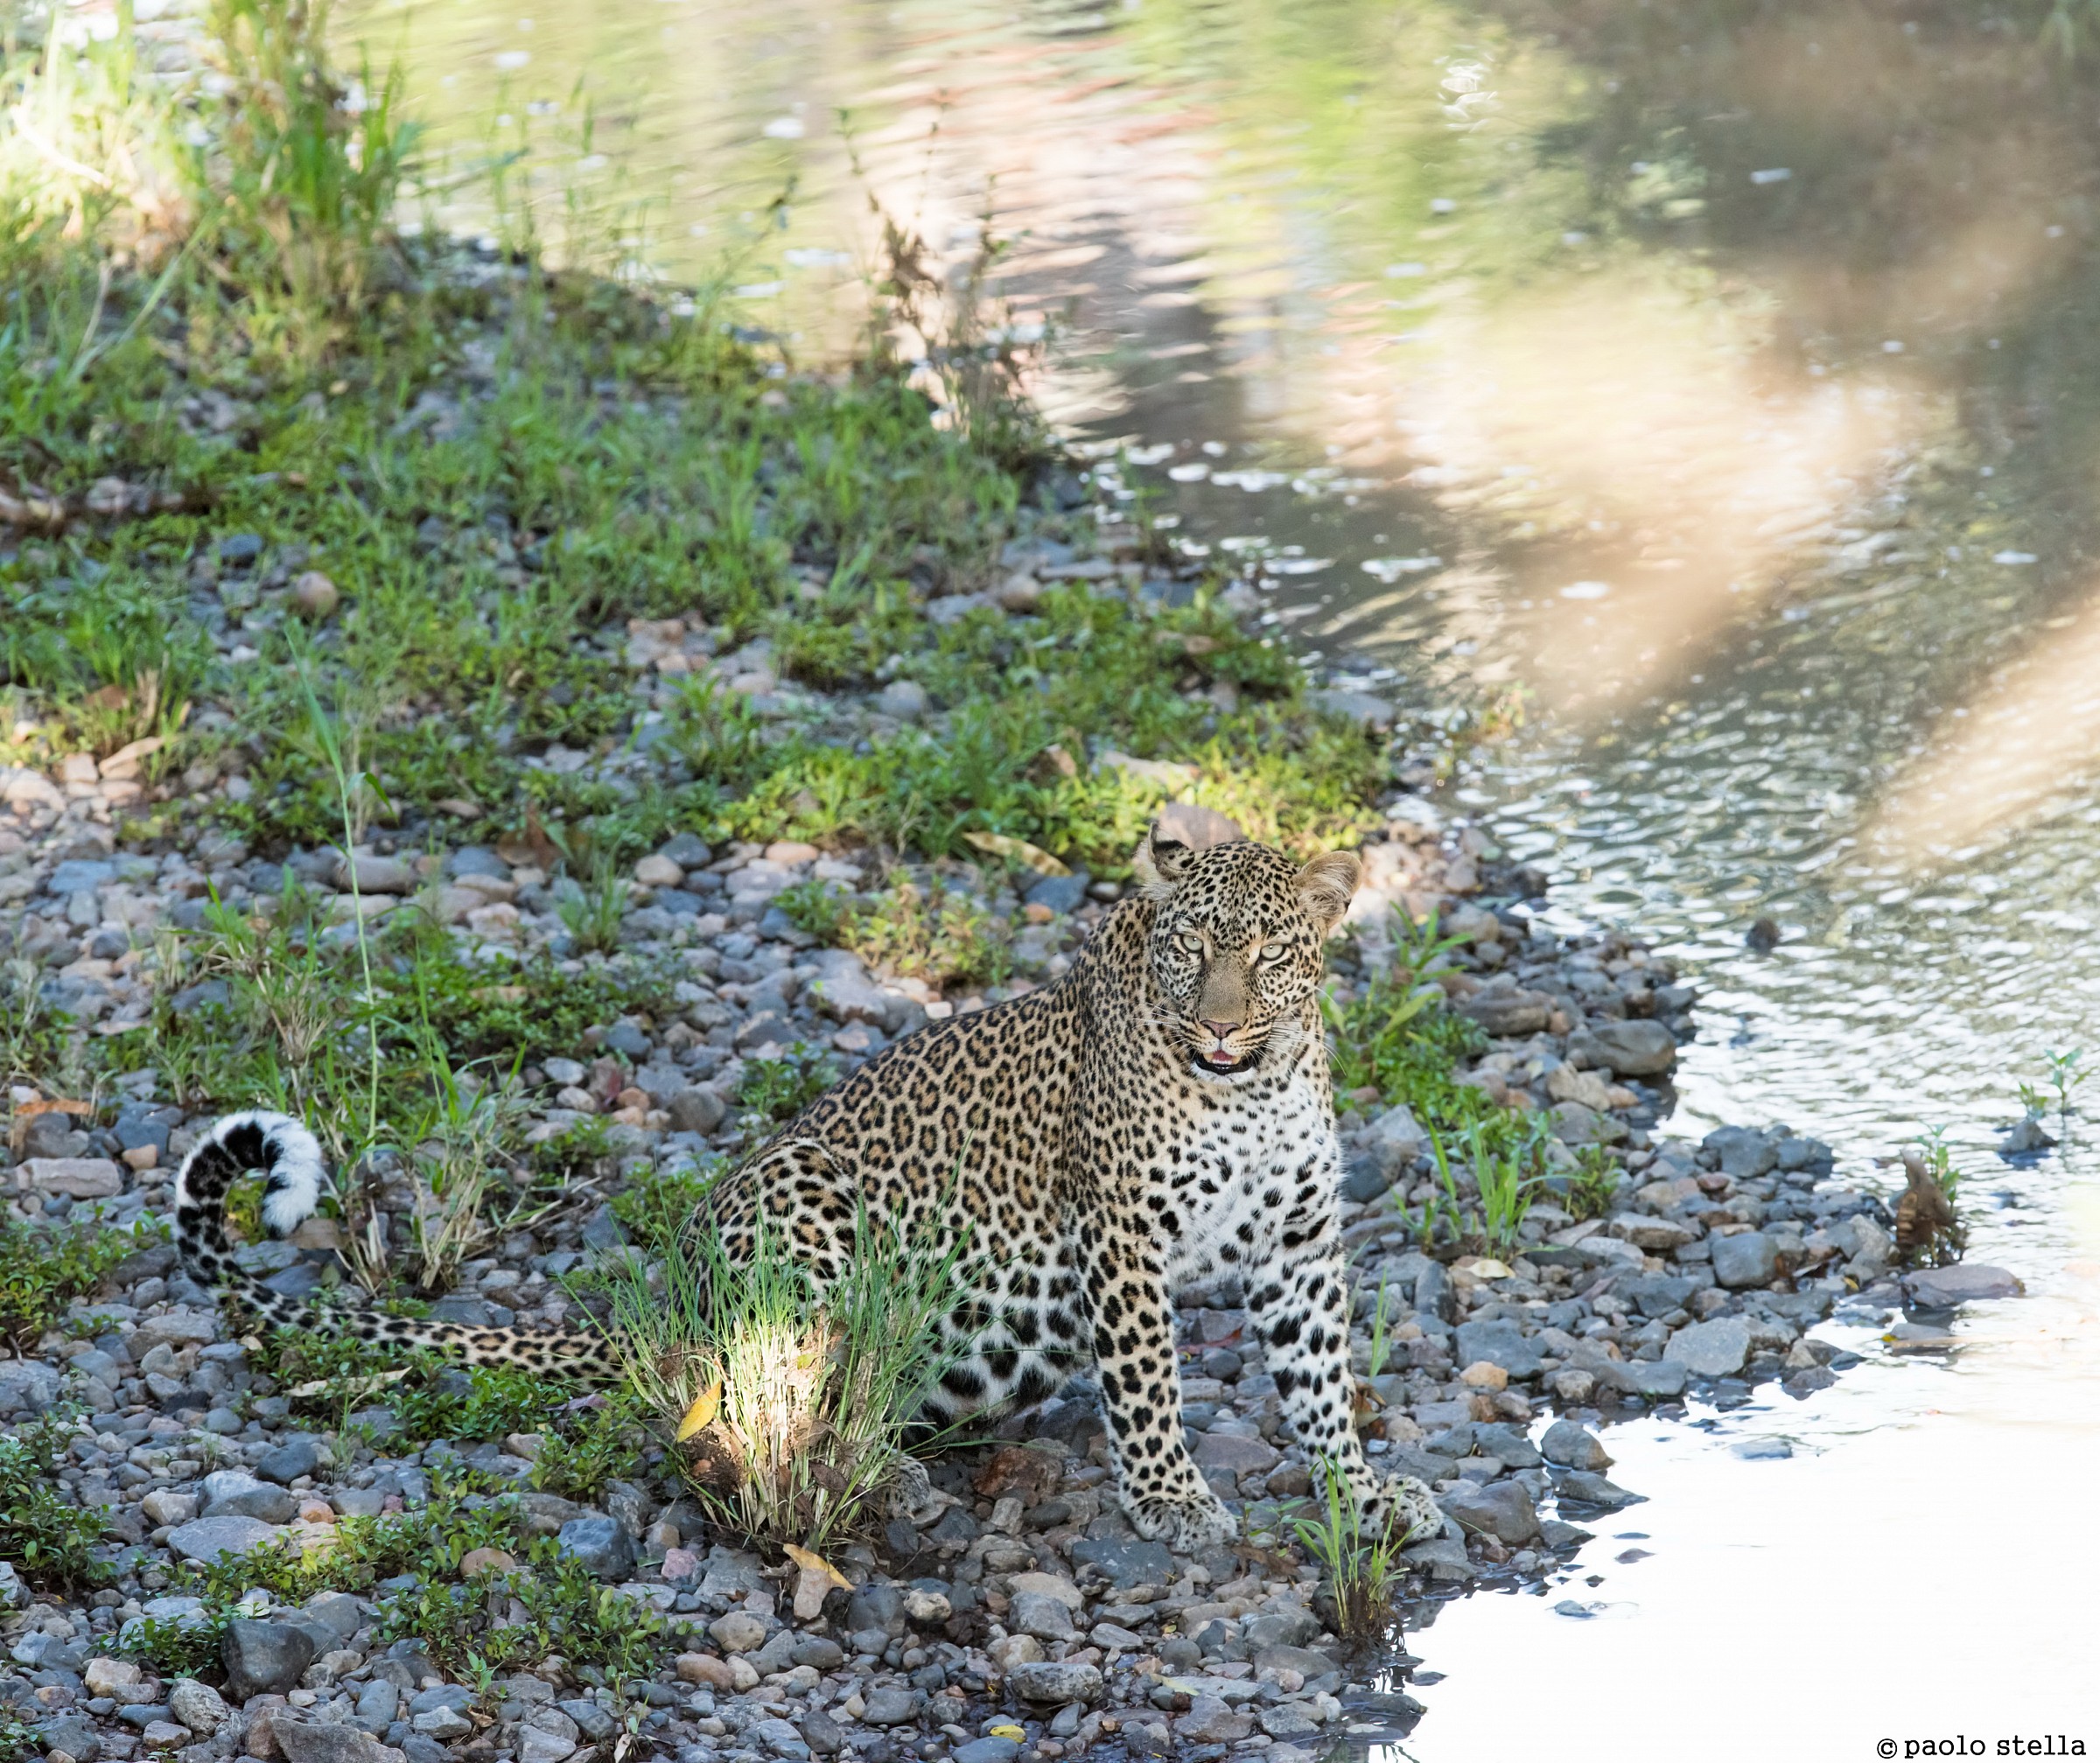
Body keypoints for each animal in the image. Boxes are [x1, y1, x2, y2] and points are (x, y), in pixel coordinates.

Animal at [176, 822, 1439, 1552]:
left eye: (1269, 953)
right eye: (1194, 951)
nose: (1219, 1023)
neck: (1251, 1085)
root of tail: (670, 1286)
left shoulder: (1300, 1241)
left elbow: (1322, 1381)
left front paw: (1364, 1490)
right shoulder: (1121, 1234)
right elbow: (1147, 1380)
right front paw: (1171, 1495)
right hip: (804, 1202)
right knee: (744, 1394)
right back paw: (880, 1474)